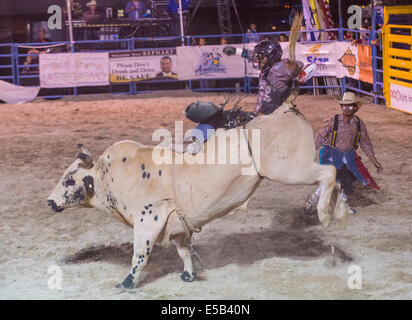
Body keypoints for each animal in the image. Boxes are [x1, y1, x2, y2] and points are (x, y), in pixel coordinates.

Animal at [47, 100, 348, 290]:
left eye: (69, 179)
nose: (50, 201)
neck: (111, 175)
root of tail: (286, 108)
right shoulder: (177, 224)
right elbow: (184, 251)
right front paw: (189, 275)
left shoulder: (149, 218)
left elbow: (140, 254)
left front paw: (127, 283)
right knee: (336, 179)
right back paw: (340, 210)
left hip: (288, 168)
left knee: (329, 171)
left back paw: (325, 215)